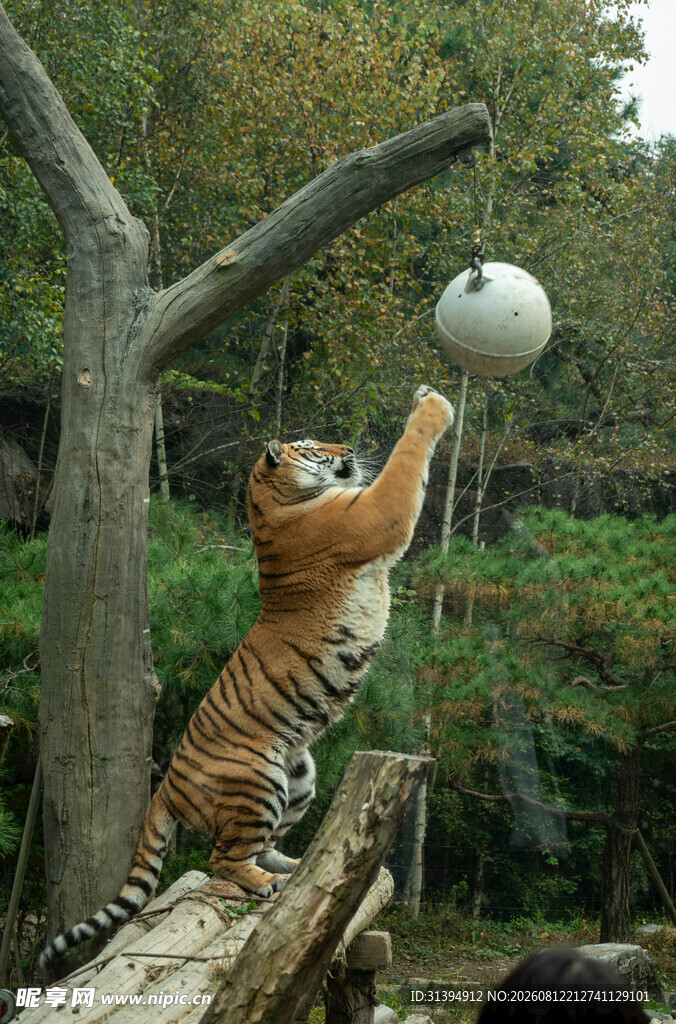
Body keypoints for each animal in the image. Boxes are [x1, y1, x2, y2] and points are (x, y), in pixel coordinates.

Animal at [39, 384, 453, 971]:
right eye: (314, 447)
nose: (347, 446)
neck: (271, 501)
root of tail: (163, 787)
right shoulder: (375, 512)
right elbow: (407, 456)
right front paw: (432, 404)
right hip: (257, 780)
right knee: (222, 859)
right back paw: (263, 883)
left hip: (300, 776)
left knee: (262, 845)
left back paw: (292, 866)